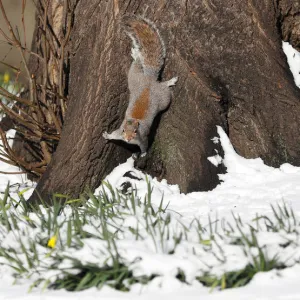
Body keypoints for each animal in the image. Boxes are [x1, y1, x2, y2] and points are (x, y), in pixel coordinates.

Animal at [103, 14, 178, 156]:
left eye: (135, 131)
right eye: (123, 130)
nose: (128, 139)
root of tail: (149, 80)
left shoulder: (142, 138)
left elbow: (144, 146)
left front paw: (143, 154)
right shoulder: (120, 132)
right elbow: (114, 135)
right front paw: (107, 135)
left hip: (164, 99)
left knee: (164, 87)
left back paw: (169, 82)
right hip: (134, 77)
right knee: (137, 65)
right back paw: (137, 55)